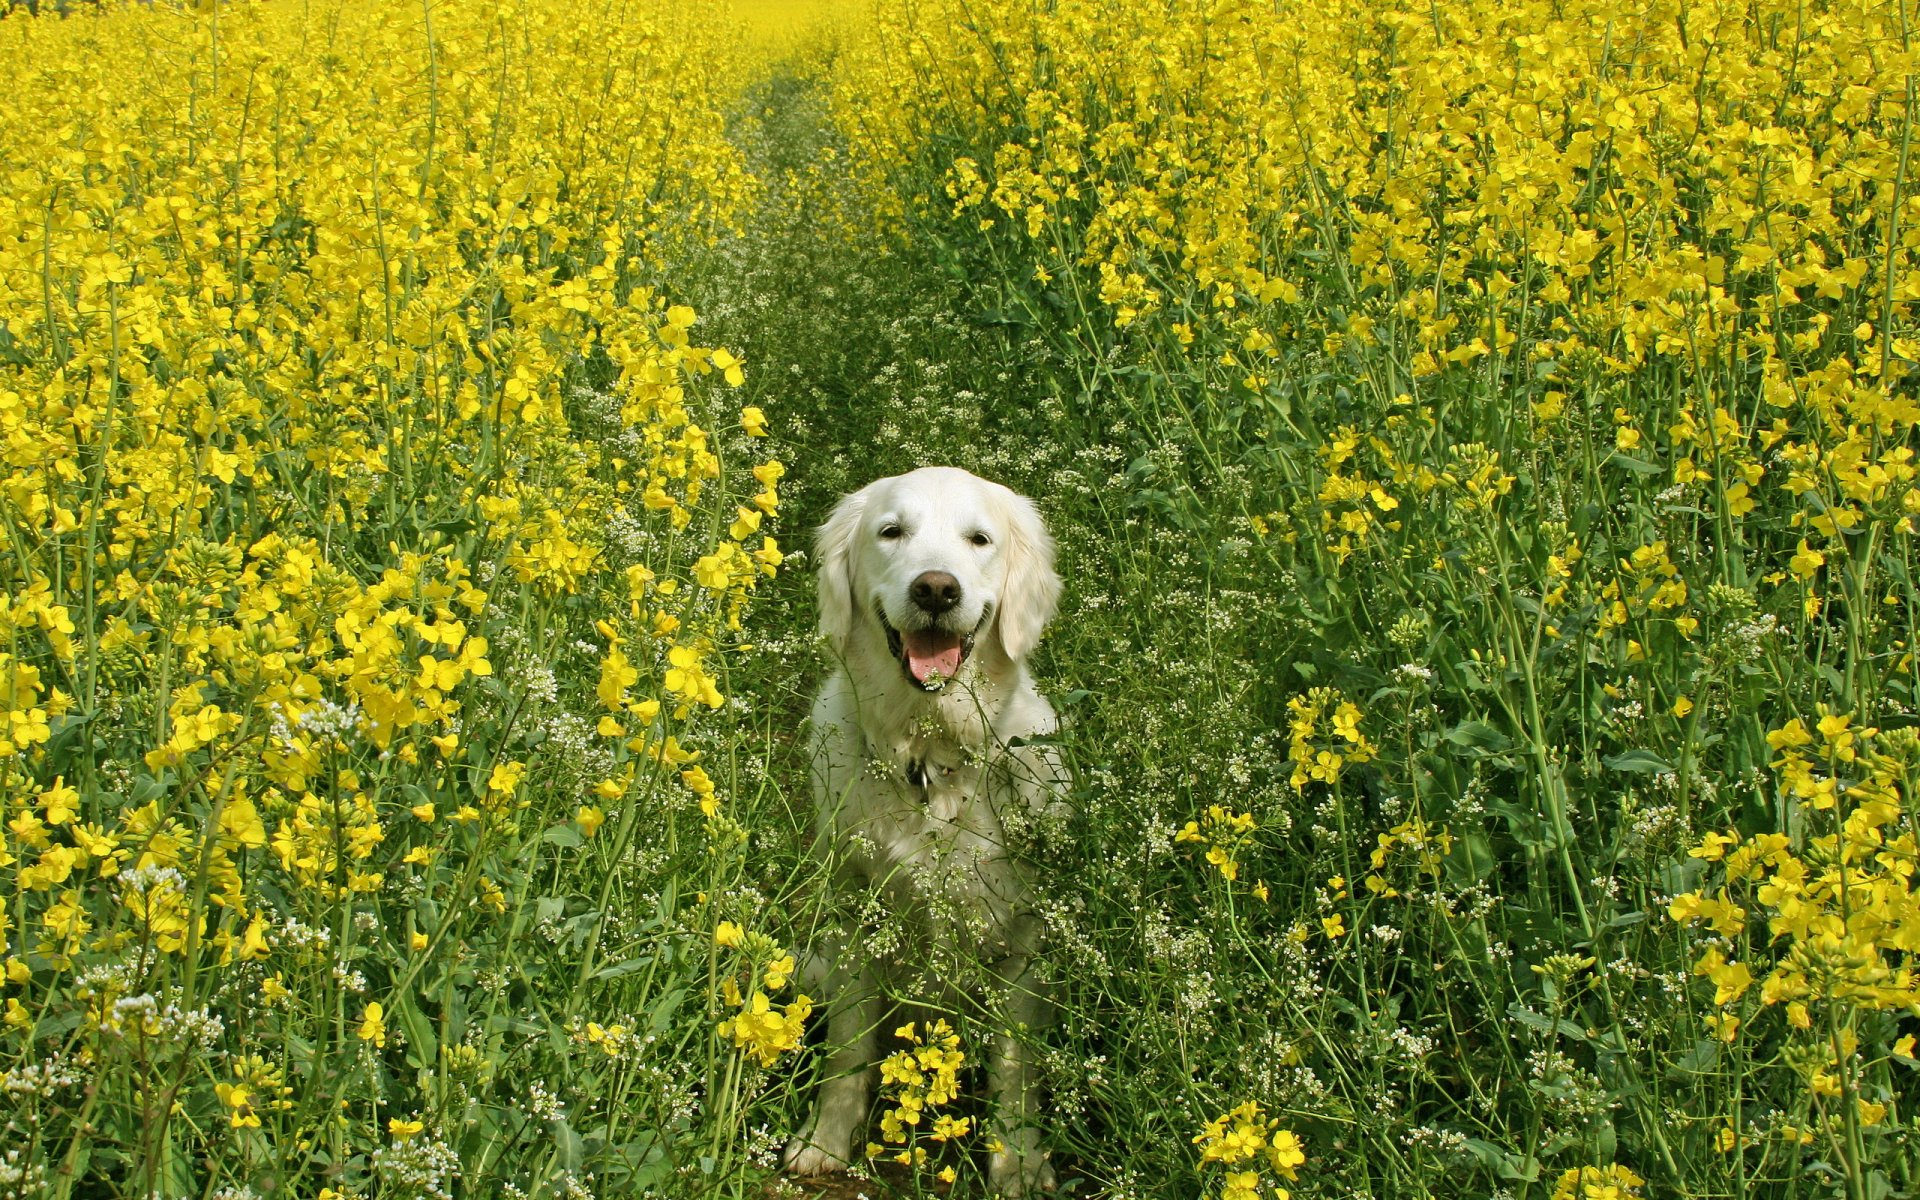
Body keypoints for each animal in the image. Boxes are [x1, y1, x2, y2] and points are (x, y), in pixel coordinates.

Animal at [783, 466, 1067, 1190]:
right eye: (892, 531)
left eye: (979, 539)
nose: (936, 589)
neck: (930, 764)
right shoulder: (855, 918)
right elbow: (847, 1051)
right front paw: (827, 1143)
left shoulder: (1023, 944)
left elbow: (1014, 1071)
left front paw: (1019, 1166)